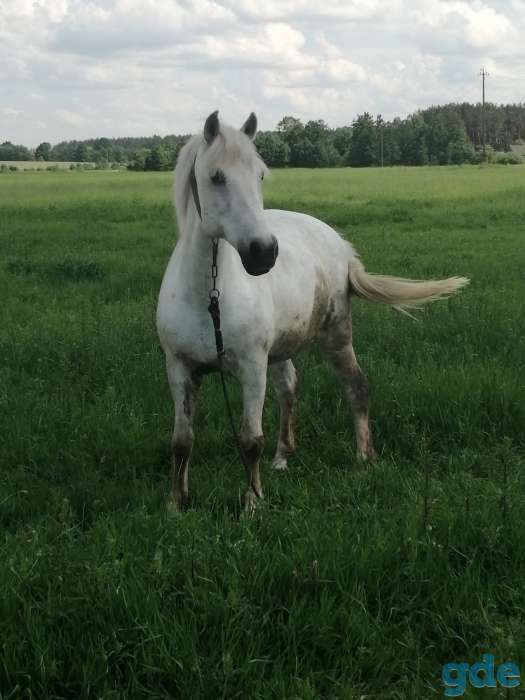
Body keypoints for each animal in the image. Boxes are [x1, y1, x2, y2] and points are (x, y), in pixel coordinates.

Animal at [156, 110, 468, 511]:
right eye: (216, 177)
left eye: (260, 175)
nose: (263, 252)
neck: (210, 297)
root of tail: (339, 244)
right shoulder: (180, 368)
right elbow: (182, 441)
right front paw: (176, 504)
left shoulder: (252, 369)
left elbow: (250, 439)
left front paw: (252, 502)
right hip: (279, 351)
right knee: (289, 388)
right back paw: (282, 458)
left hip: (336, 335)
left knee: (356, 387)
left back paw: (363, 457)